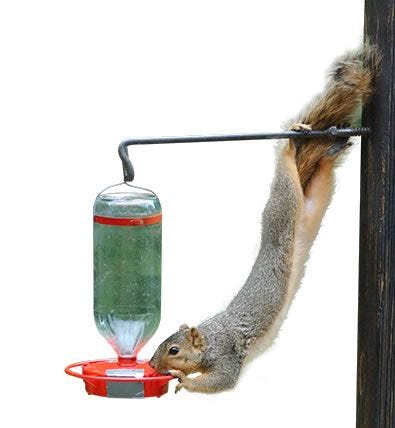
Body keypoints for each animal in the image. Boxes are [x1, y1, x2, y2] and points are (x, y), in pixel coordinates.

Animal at [150, 44, 382, 394]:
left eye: (174, 349)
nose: (151, 365)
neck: (211, 337)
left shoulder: (227, 355)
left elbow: (222, 381)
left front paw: (182, 379)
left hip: (282, 208)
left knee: (285, 172)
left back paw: (291, 144)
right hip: (312, 197)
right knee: (320, 174)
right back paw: (327, 148)